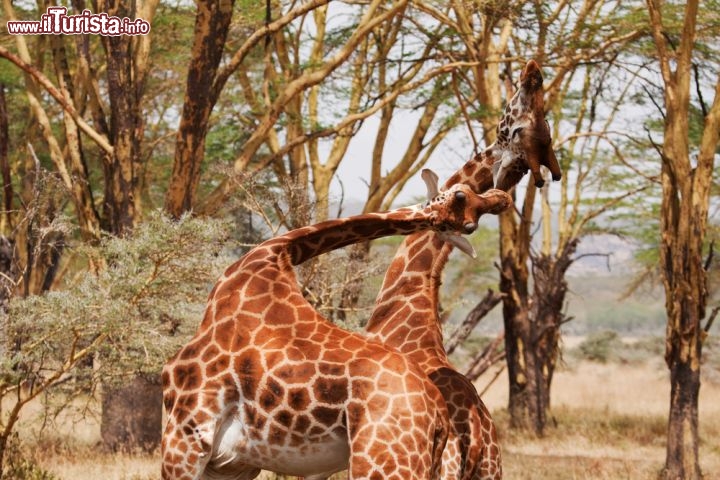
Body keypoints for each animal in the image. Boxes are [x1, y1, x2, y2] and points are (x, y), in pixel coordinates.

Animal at [162, 171, 512, 480]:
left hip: (381, 464)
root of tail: (441, 417)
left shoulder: (185, 435)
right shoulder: (232, 463)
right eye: (463, 196)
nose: (502, 198)